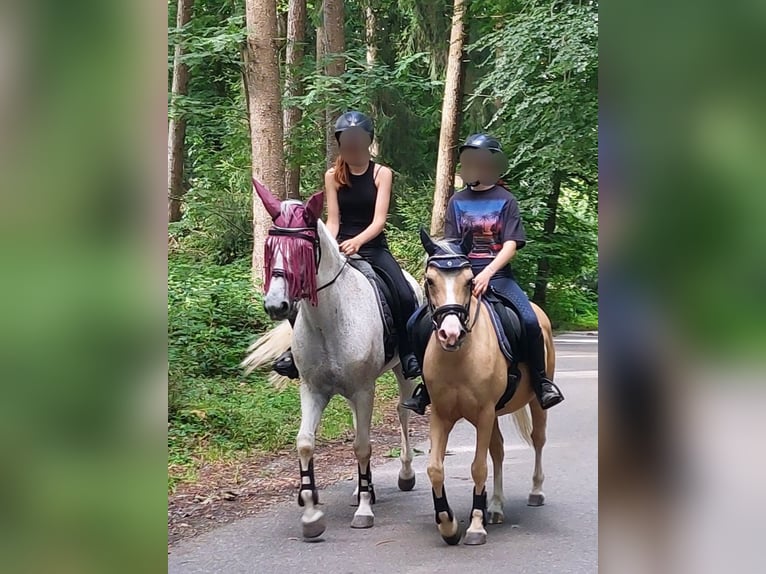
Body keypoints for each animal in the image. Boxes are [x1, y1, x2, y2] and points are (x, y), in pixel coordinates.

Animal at [242, 180, 422, 540]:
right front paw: (312, 514)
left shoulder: (364, 390)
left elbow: (363, 446)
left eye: (304, 248)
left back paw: (404, 475)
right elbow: (305, 443)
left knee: (402, 413)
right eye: (270, 245)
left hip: (401, 374)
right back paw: (361, 489)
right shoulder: (313, 390)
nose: (276, 305)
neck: (329, 320)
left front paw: (364, 511)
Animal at [417, 229, 554, 546]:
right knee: (499, 451)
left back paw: (535, 492)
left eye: (469, 281)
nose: (450, 334)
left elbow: (478, 467)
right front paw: (447, 524)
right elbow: (435, 468)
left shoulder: (484, 413)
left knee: (538, 439)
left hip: (533, 404)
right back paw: (496, 506)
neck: (459, 357)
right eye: (430, 280)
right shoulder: (441, 415)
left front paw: (476, 526)